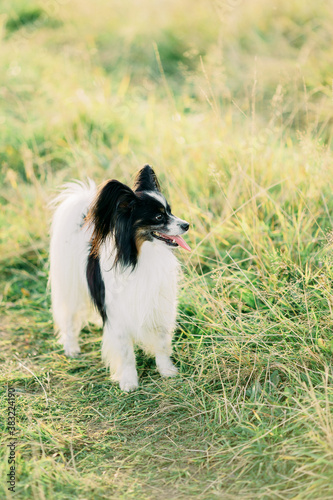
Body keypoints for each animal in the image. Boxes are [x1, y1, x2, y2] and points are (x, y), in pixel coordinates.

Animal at [49, 166, 189, 392]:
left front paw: (167, 371)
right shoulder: (119, 316)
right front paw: (129, 381)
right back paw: (71, 348)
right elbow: (126, 353)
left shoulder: (158, 308)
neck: (141, 257)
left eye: (170, 211)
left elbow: (161, 343)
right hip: (72, 290)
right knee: (69, 319)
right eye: (159, 217)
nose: (186, 225)